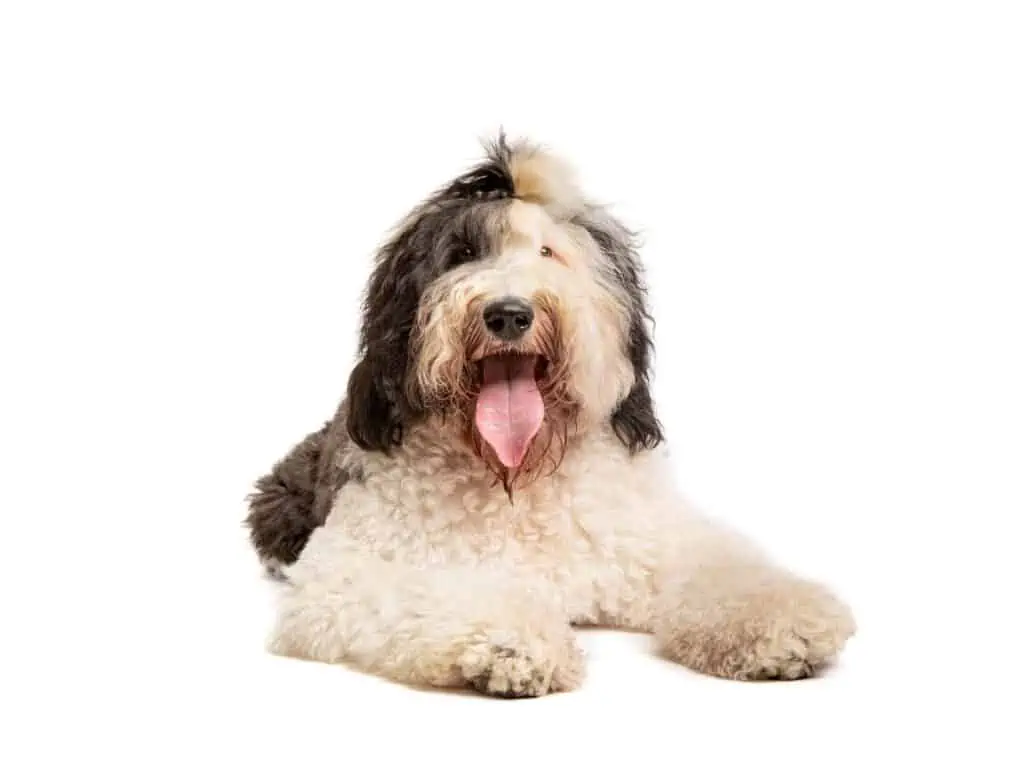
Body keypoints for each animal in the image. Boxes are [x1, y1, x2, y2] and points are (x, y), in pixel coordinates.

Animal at [243, 135, 851, 700]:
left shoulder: (658, 540)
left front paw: (780, 620)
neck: (516, 479)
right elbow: (436, 592)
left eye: (547, 251)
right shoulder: (349, 571)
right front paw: (510, 643)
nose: (508, 313)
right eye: (461, 253)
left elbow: (723, 568)